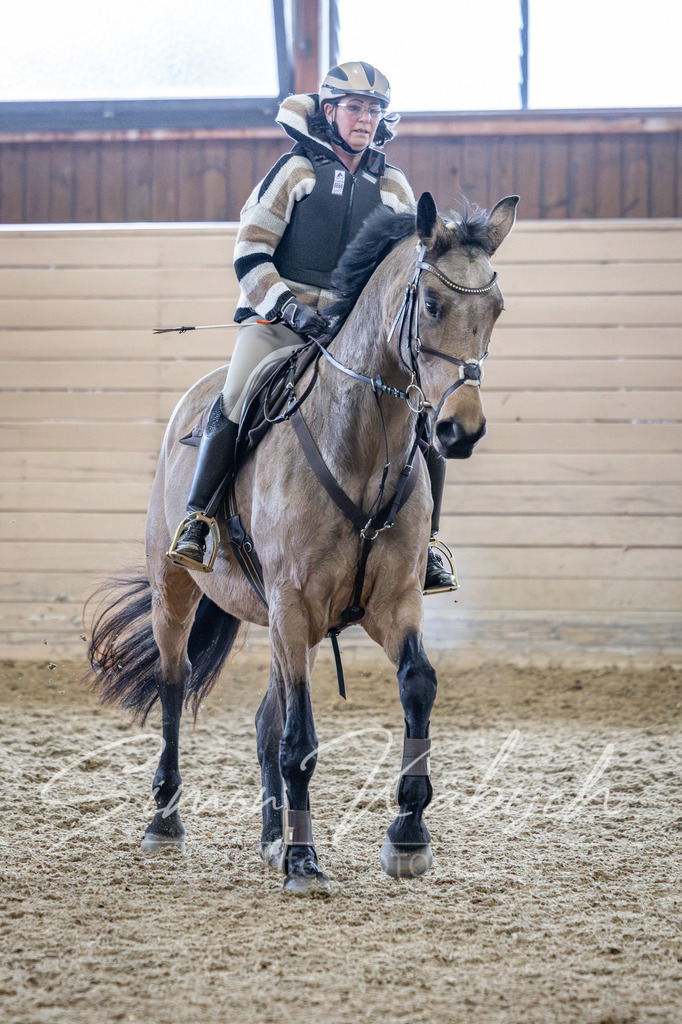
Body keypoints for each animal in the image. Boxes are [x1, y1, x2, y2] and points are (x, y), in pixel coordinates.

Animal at [87, 191, 519, 894]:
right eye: (431, 303)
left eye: (497, 309)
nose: (460, 429)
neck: (364, 445)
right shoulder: (294, 604)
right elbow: (300, 739)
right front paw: (304, 860)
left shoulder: (391, 604)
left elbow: (416, 685)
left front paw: (407, 834)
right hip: (178, 591)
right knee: (176, 686)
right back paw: (167, 821)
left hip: (287, 627)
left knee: (267, 716)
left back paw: (269, 836)